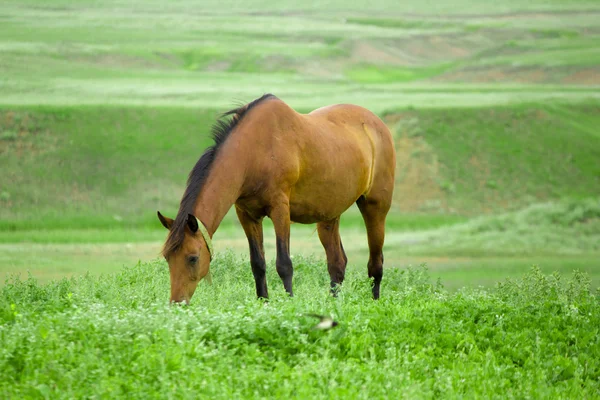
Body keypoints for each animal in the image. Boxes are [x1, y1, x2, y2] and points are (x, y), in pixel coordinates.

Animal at [157, 94, 396, 304]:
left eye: (193, 258)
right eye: (168, 257)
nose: (177, 302)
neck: (255, 152)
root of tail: (378, 125)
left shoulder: (280, 210)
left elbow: (284, 264)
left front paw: (289, 304)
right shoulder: (247, 215)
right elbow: (258, 264)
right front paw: (264, 302)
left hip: (375, 207)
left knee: (375, 264)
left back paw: (374, 303)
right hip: (329, 216)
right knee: (337, 263)